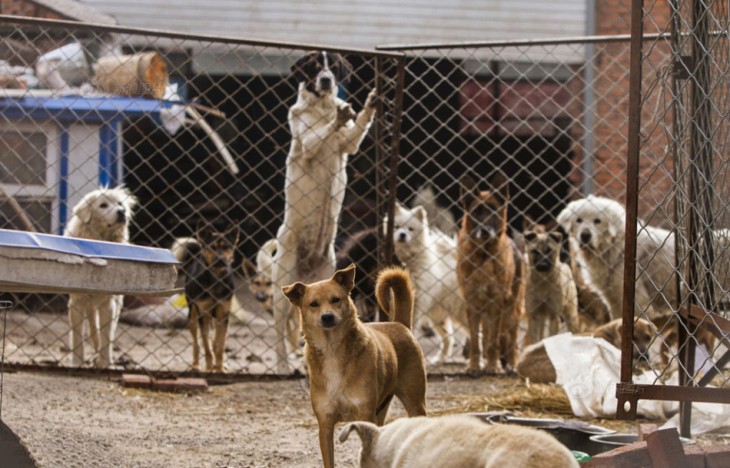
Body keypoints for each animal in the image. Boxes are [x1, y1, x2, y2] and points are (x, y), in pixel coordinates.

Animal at [182, 223, 239, 372]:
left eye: (226, 247)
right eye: (212, 247)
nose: (220, 259)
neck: (216, 279)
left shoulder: (223, 315)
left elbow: (220, 345)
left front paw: (219, 368)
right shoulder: (204, 314)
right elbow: (206, 345)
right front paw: (209, 368)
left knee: (216, 342)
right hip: (192, 317)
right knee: (196, 343)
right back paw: (195, 365)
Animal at [270, 51, 378, 372]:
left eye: (334, 66)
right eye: (315, 67)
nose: (327, 80)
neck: (319, 107)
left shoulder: (348, 145)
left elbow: (356, 128)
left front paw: (368, 104)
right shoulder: (307, 144)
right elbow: (319, 133)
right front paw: (337, 116)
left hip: (328, 277)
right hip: (280, 289)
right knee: (278, 331)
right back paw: (282, 366)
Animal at [280, 264, 426, 468]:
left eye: (336, 299)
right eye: (313, 304)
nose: (327, 317)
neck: (332, 349)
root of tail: (399, 324)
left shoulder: (365, 416)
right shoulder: (325, 425)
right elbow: (329, 461)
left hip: (414, 403)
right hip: (381, 409)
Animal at [386, 203, 466, 364]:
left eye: (410, 229)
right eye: (396, 227)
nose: (402, 235)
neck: (408, 261)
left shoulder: (416, 304)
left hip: (459, 312)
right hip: (438, 316)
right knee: (448, 339)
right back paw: (440, 359)